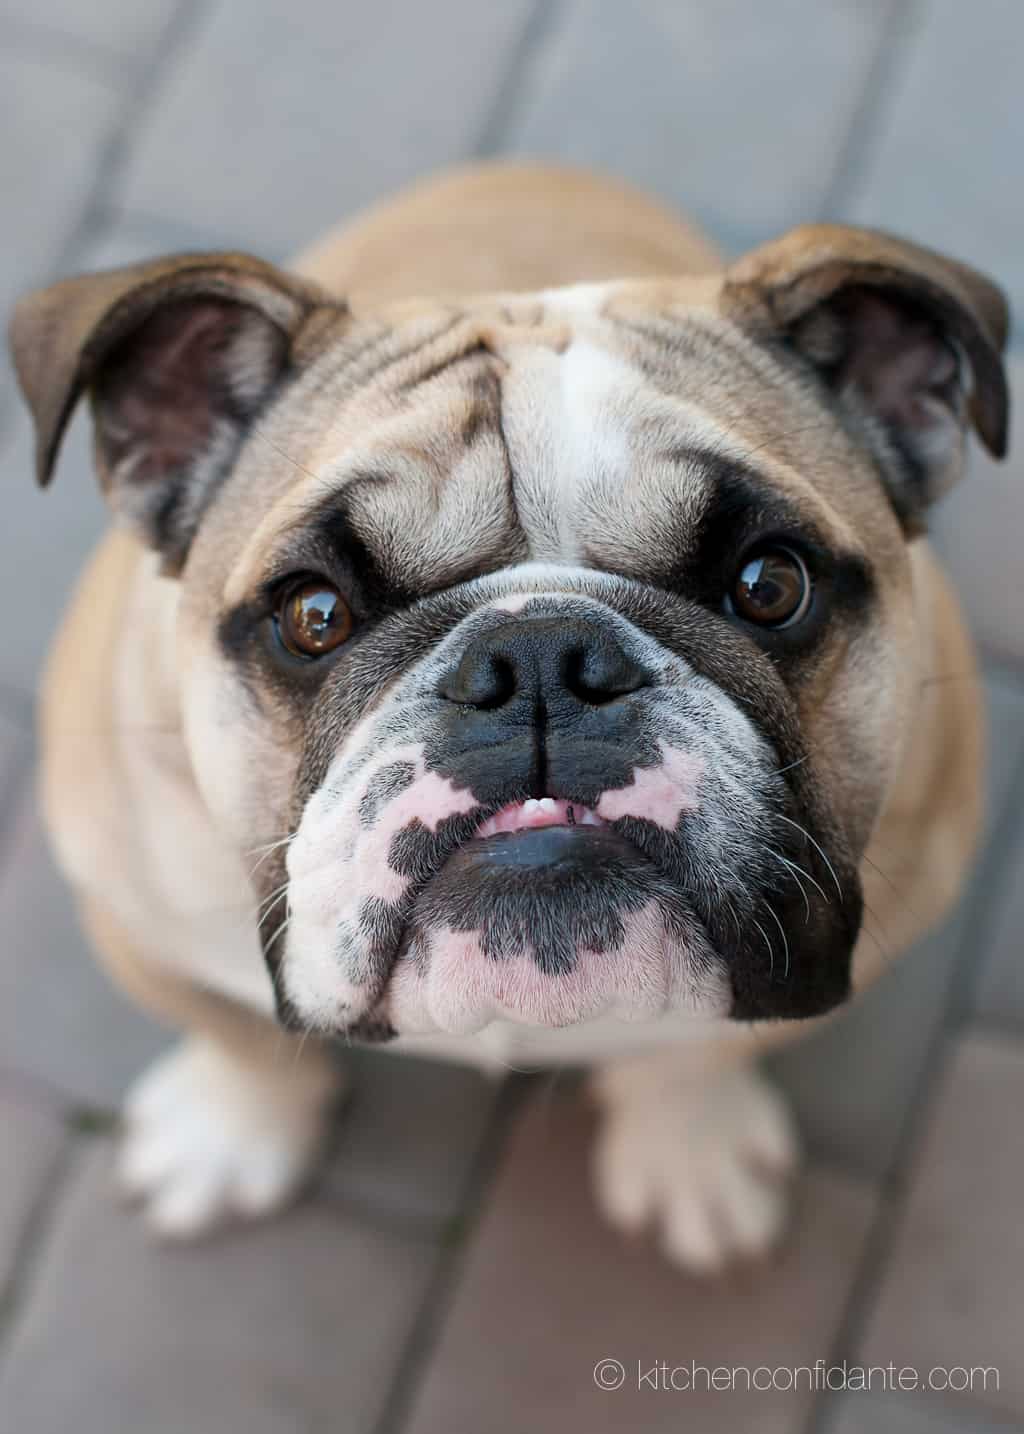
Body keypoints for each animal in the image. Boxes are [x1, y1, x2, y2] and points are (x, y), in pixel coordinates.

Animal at [7, 162, 1003, 1273]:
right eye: (313, 614)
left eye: (768, 583)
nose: (538, 661)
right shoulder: (142, 927)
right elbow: (240, 1038)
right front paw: (230, 1132)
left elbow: (695, 1056)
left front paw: (689, 1147)